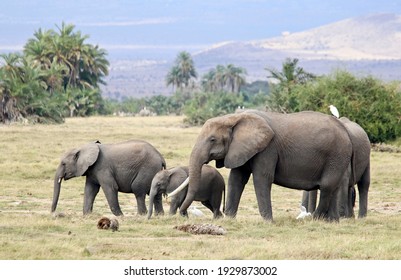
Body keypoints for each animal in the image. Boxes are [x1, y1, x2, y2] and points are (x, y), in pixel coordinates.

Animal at [180, 109, 352, 221]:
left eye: (212, 139)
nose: (183, 215)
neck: (234, 118)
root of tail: (346, 131)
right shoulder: (241, 148)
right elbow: (236, 179)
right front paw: (229, 219)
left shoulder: (268, 149)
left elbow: (261, 178)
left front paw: (268, 221)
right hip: (338, 157)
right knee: (335, 187)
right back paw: (332, 221)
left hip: (336, 155)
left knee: (327, 186)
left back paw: (314, 219)